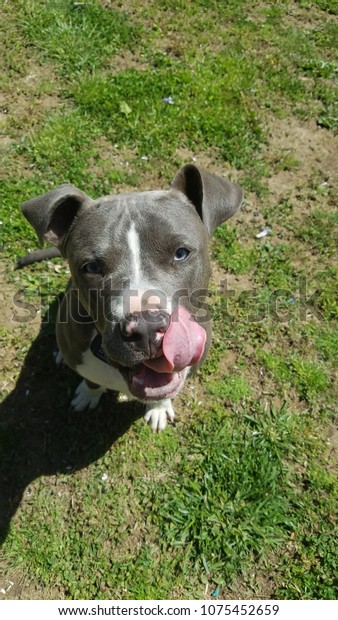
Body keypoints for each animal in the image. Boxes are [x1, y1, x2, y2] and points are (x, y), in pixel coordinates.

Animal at [21, 163, 243, 432]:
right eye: (92, 267)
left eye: (181, 253)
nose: (146, 328)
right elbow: (92, 380)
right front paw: (88, 394)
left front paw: (158, 408)